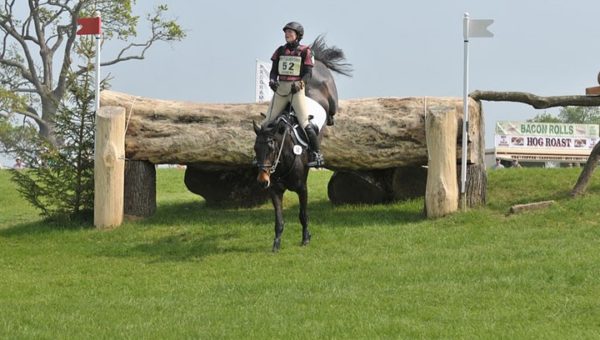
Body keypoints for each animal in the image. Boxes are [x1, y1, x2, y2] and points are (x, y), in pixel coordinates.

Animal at [252, 36, 352, 252]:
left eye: (272, 148)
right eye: (255, 148)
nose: (262, 181)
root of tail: (317, 61)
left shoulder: (302, 188)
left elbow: (303, 214)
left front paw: (306, 238)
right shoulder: (275, 191)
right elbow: (279, 220)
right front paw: (276, 243)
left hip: (329, 97)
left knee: (328, 114)